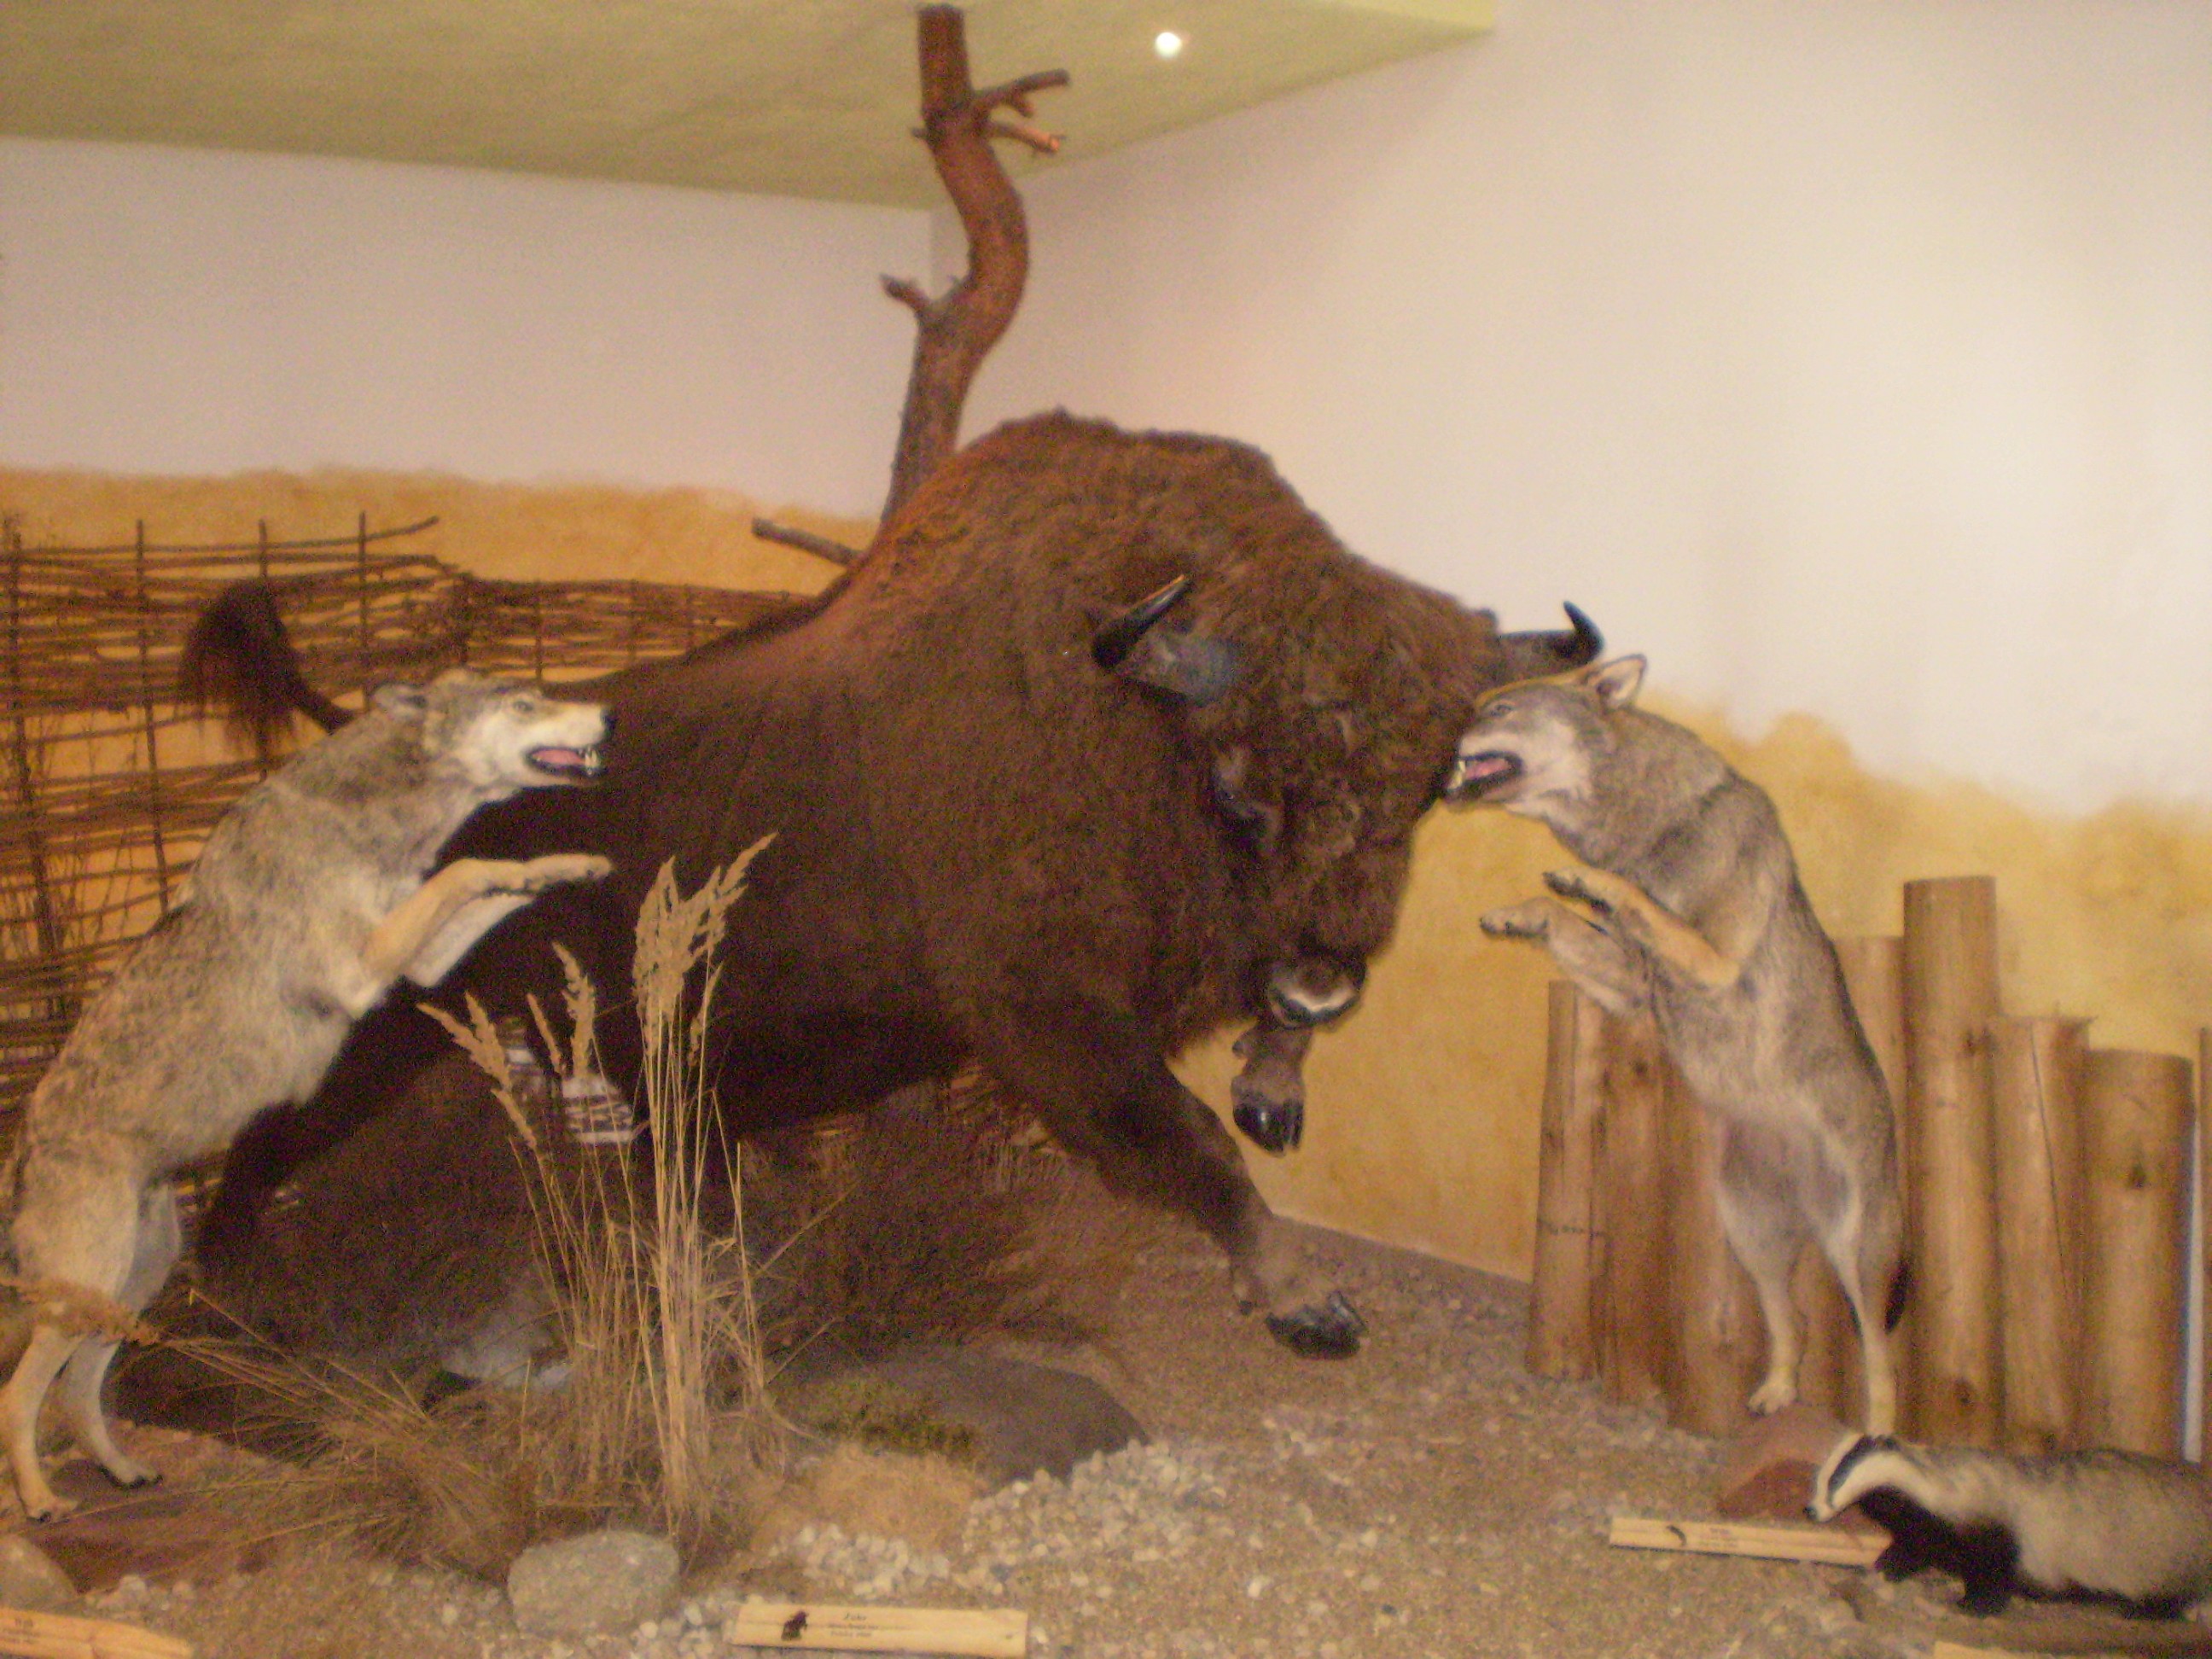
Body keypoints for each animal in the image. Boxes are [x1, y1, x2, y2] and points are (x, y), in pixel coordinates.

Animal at [191, 411, 1596, 1357]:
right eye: (1246, 790)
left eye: (1424, 795)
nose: (1324, 980)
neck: (1130, 719)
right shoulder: (1046, 1017)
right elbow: (1183, 1138)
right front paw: (1307, 1300)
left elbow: (1239, 1096)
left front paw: (1278, 1083)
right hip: (384, 1028)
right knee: (269, 1126)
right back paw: (227, 1287)